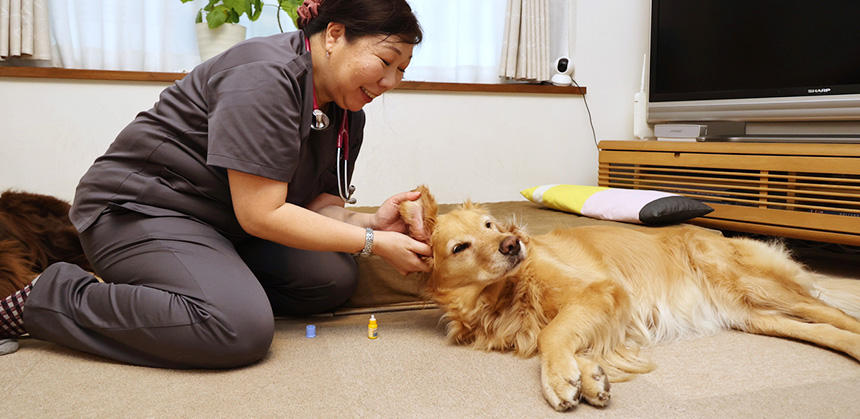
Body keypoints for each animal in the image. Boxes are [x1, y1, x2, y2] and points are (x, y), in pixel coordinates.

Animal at [402, 186, 860, 414]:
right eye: (460, 247)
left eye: (490, 225)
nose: (513, 245)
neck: (504, 296)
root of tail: (720, 234)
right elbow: (567, 340)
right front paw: (588, 376)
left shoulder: (602, 290)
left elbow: (553, 334)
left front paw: (560, 380)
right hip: (754, 315)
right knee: (825, 328)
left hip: (757, 286)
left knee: (835, 313)